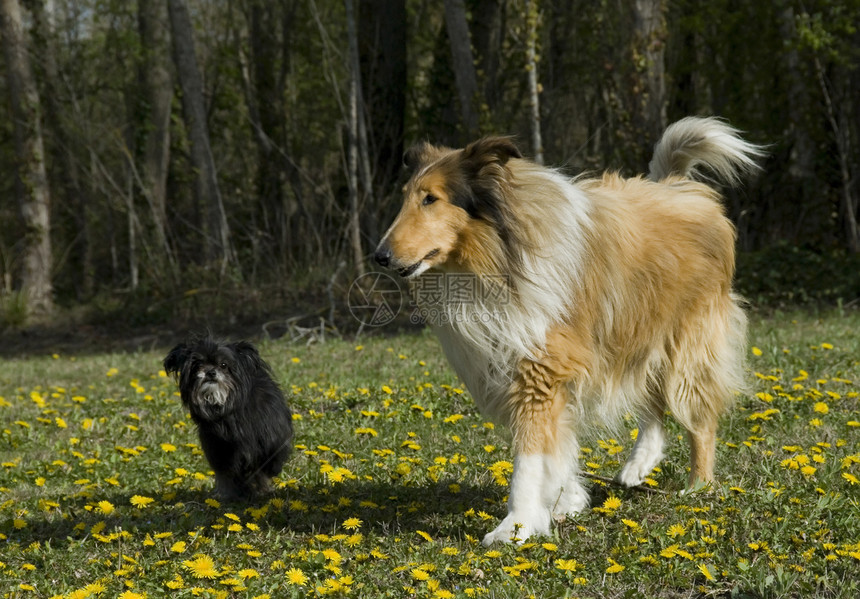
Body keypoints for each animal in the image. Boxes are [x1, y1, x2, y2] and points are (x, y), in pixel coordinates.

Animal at [163, 338, 294, 502]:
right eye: (198, 364)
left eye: (224, 365)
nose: (210, 372)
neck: (227, 409)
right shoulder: (220, 449)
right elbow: (228, 475)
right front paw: (233, 494)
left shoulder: (270, 435)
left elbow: (269, 459)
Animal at [372, 117, 764, 544]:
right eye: (407, 196)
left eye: (431, 199)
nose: (380, 256)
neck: (499, 257)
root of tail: (677, 186)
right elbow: (557, 446)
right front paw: (568, 501)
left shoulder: (539, 369)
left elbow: (529, 458)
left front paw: (516, 526)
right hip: (636, 335)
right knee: (651, 404)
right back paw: (638, 464)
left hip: (686, 343)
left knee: (699, 417)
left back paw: (698, 487)